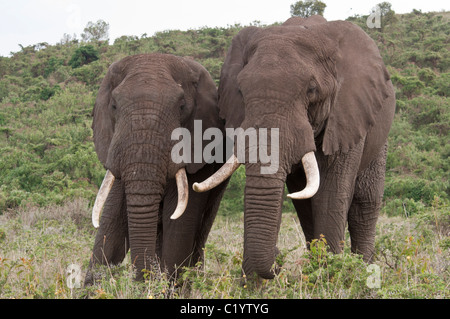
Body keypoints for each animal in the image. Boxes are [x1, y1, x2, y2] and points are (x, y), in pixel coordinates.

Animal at [193, 16, 394, 280]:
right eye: (241, 91)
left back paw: (363, 270)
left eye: (312, 90)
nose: (278, 259)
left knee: (365, 202)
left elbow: (331, 193)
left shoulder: (346, 113)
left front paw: (329, 278)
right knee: (304, 201)